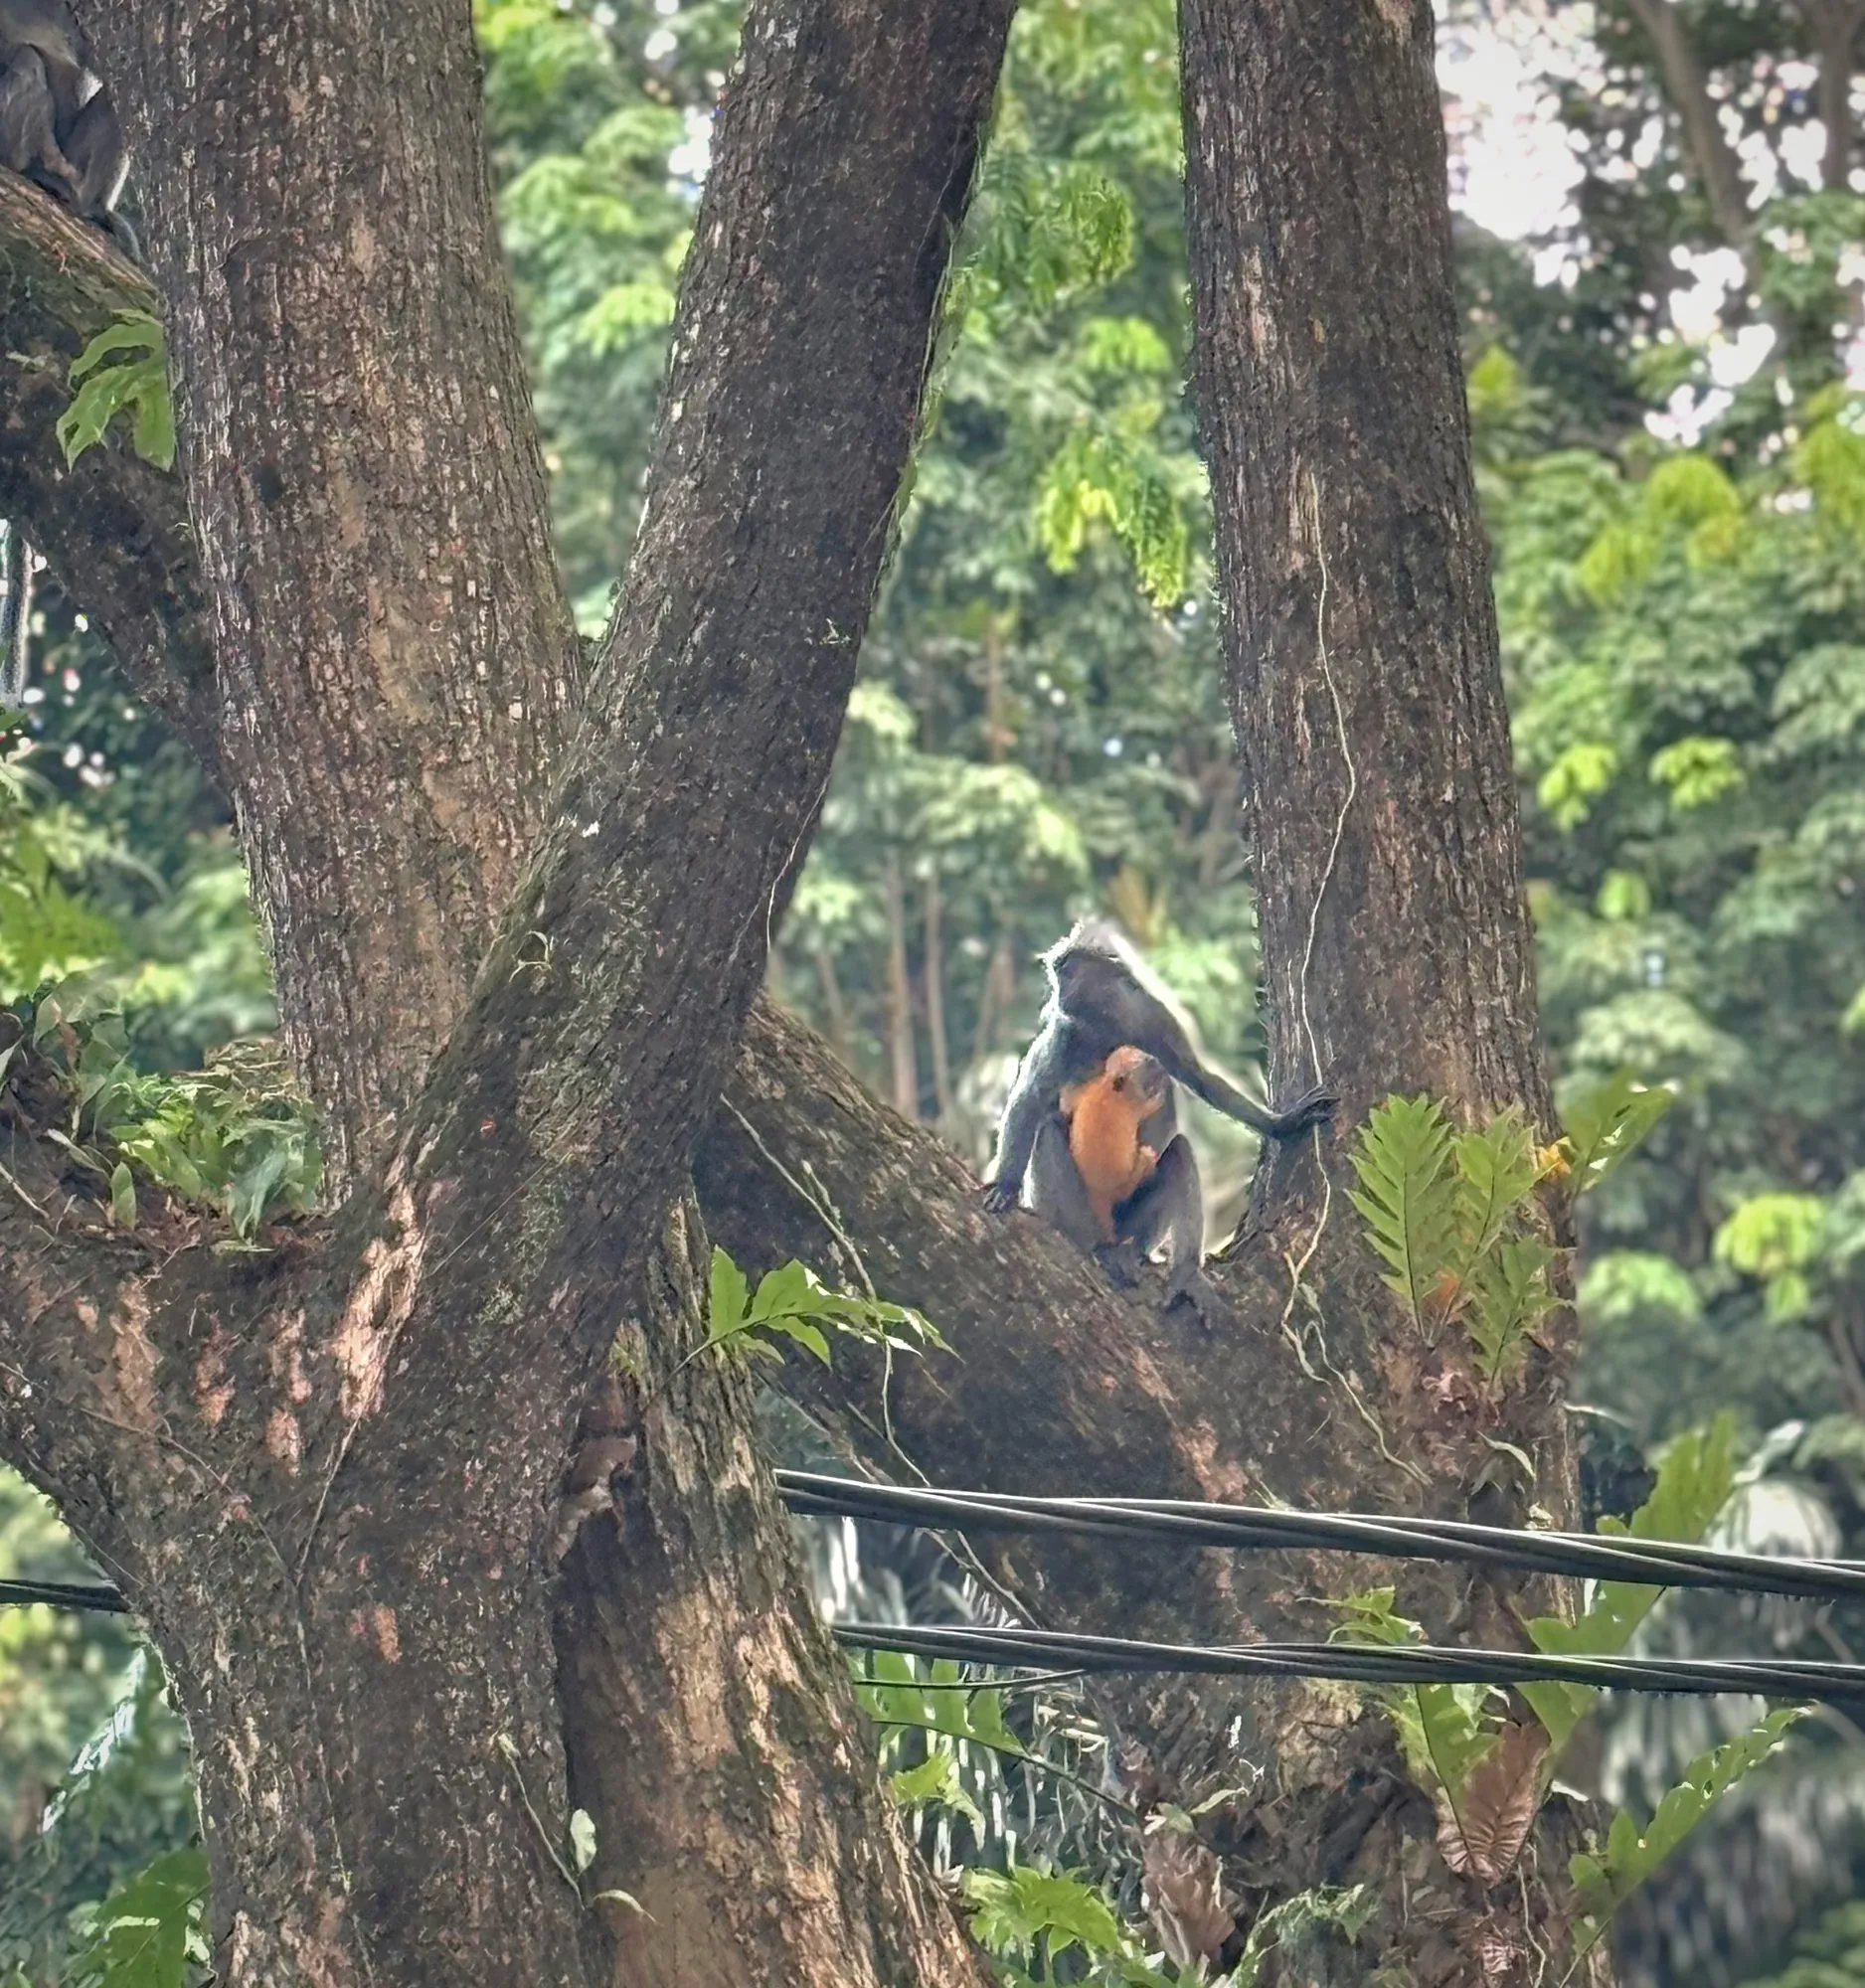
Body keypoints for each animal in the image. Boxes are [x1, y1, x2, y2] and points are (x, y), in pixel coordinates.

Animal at [981, 917, 1334, 1220]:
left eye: (1066, 972)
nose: (1057, 995)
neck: (1109, 1025)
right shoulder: (1064, 1034)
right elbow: (1030, 1098)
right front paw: (1006, 1186)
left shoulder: (1154, 1018)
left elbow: (1199, 1078)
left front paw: (1284, 1124)